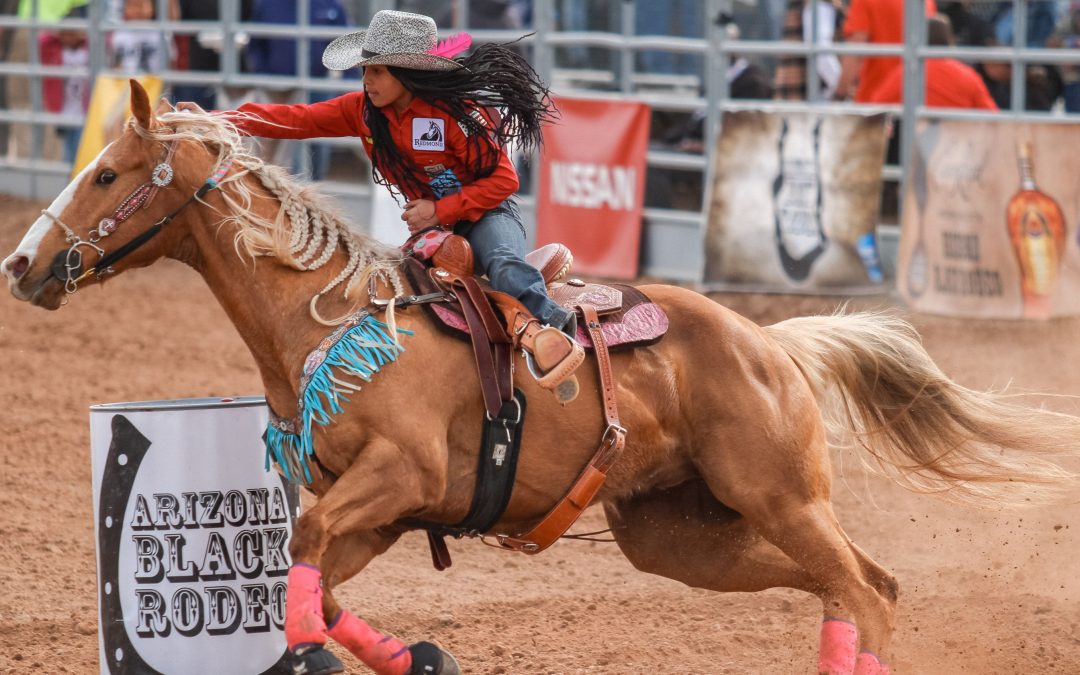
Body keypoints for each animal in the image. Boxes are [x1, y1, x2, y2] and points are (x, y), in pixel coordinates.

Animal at [4, 80, 1075, 673]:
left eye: (107, 174)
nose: (21, 263)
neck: (335, 323)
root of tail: (772, 344)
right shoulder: (381, 512)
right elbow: (319, 584)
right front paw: (423, 655)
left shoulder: (393, 478)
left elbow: (302, 558)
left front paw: (320, 659)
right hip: (685, 536)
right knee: (855, 587)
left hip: (779, 496)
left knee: (864, 587)